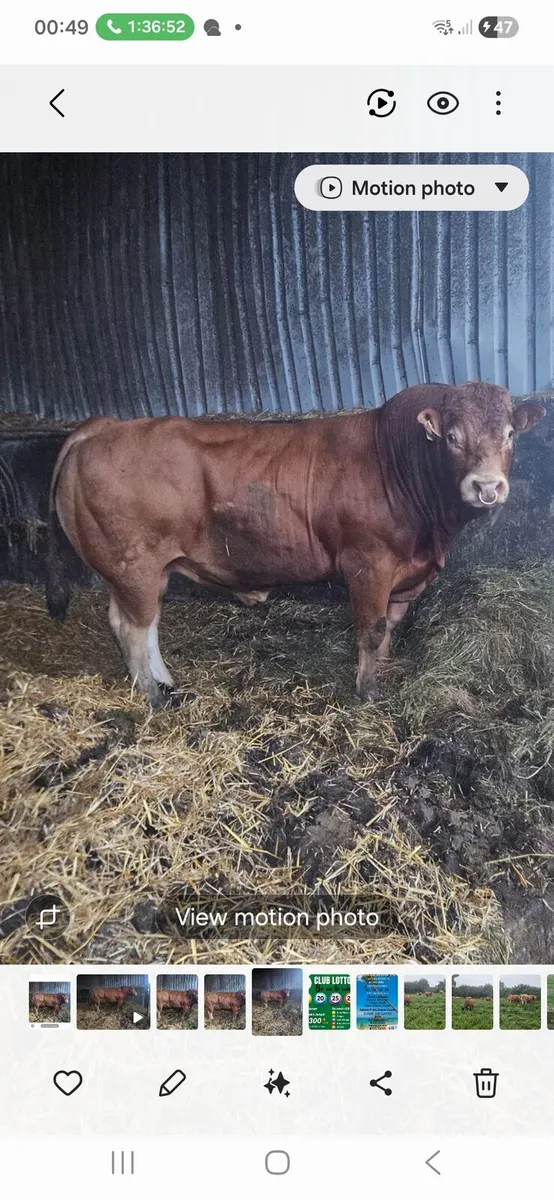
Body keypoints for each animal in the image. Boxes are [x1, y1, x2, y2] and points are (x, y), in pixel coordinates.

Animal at [45, 384, 544, 706]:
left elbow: (388, 629)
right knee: (131, 627)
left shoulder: (406, 576)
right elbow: (371, 629)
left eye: (510, 434)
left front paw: (381, 672)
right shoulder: (367, 564)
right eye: (452, 438)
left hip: (149, 570)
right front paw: (367, 693)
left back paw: (166, 683)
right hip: (134, 565)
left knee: (145, 624)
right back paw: (152, 696)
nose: (486, 487)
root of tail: (105, 427)